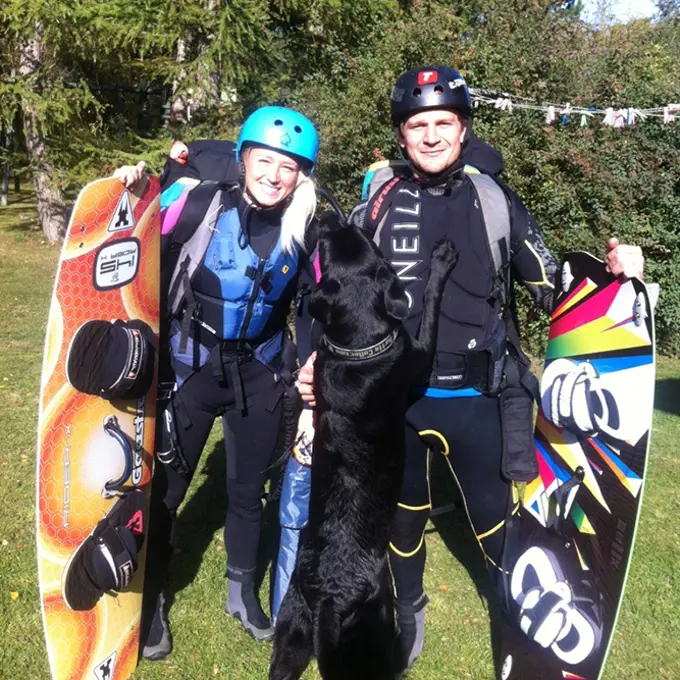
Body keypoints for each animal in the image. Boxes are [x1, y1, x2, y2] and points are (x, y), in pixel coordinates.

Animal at [270, 219, 456, 680]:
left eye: (337, 241)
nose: (326, 219)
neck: (355, 348)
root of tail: (327, 597)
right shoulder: (417, 356)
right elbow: (430, 304)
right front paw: (441, 261)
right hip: (376, 621)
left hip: (291, 633)